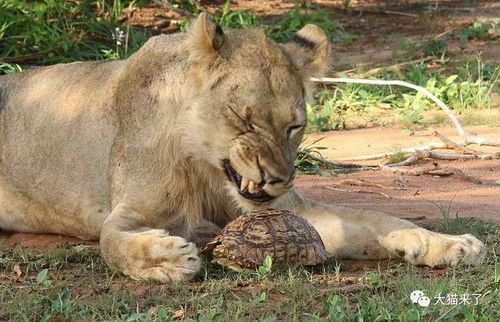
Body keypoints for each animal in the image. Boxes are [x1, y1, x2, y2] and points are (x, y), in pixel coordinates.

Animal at [0, 12, 484, 280]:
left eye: (294, 126)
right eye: (245, 119)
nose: (278, 179)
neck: (205, 165)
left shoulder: (290, 211)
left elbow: (375, 220)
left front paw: (450, 244)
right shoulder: (129, 211)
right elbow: (111, 243)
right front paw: (166, 259)